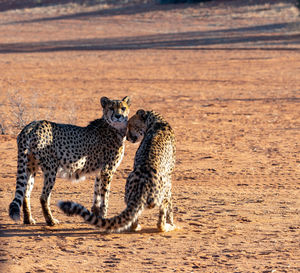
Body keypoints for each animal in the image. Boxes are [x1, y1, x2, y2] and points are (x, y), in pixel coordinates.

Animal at [8, 95, 131, 225]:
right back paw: (51, 220)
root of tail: (32, 125)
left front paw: (96, 215)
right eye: (111, 108)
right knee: (43, 197)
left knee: (25, 193)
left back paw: (28, 219)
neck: (114, 127)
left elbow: (97, 193)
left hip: (30, 166)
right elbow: (105, 196)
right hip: (51, 167)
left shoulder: (100, 171)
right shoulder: (107, 170)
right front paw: (104, 216)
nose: (118, 116)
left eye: (123, 108)